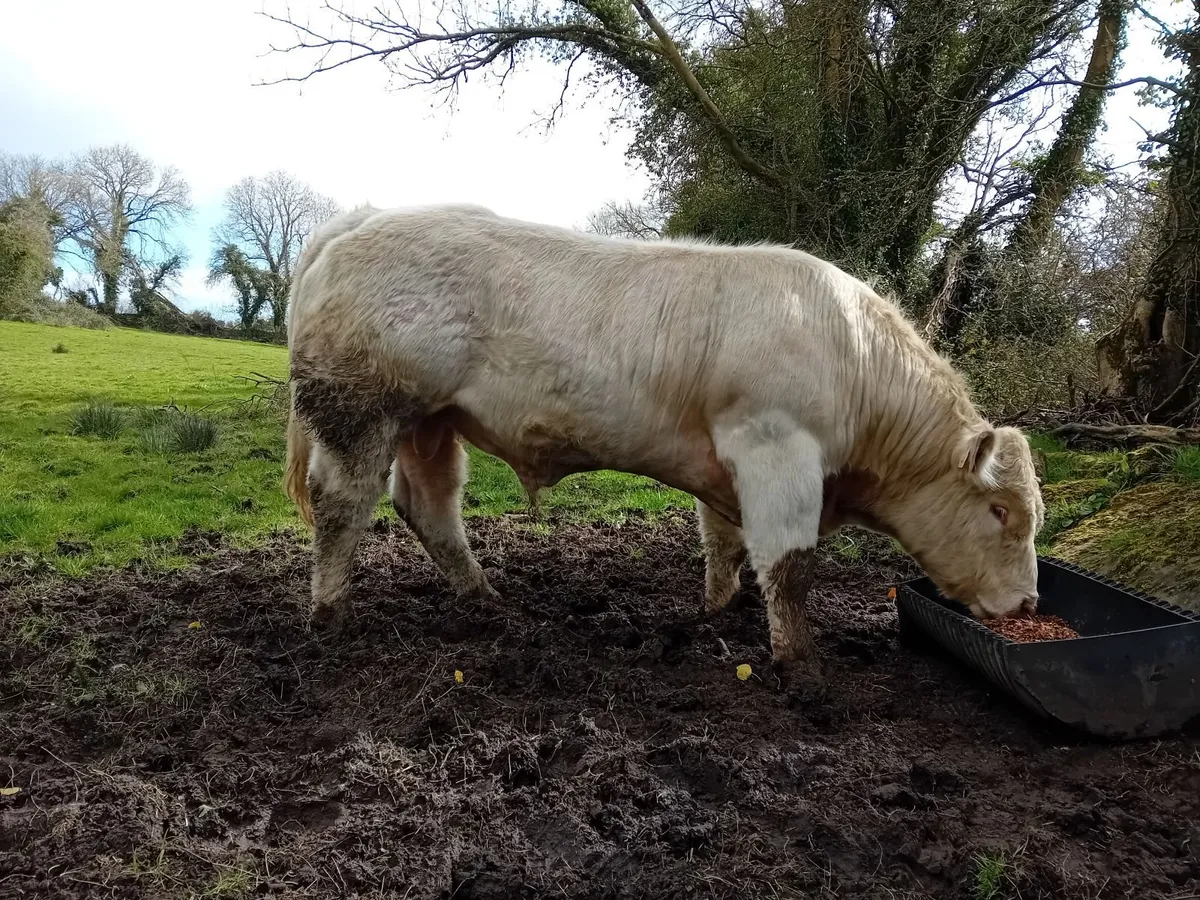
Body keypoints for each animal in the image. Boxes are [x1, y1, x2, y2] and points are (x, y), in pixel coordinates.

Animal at [283, 203, 1044, 682]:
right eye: (1001, 511)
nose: (1030, 605)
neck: (853, 355)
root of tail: (363, 217)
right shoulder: (777, 450)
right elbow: (790, 568)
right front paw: (802, 665)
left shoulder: (726, 462)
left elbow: (724, 542)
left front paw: (716, 609)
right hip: (364, 408)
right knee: (342, 503)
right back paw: (329, 615)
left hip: (430, 422)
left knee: (429, 505)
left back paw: (484, 598)